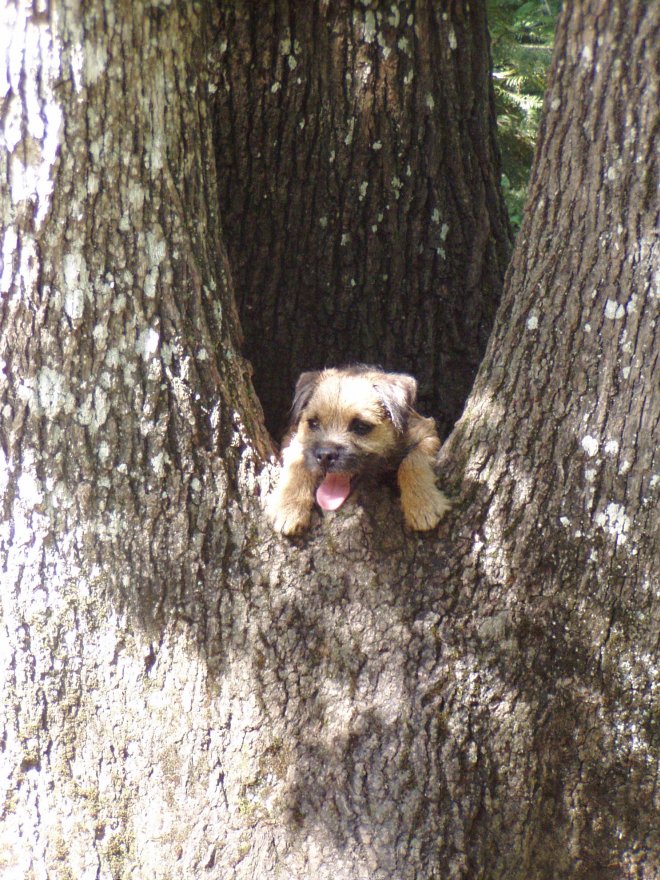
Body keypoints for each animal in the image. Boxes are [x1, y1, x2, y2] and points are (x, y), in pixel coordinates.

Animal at [266, 366, 452, 536]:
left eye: (361, 427)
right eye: (313, 423)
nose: (325, 455)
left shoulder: (425, 432)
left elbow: (413, 461)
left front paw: (422, 505)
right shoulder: (293, 438)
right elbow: (297, 461)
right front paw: (288, 507)